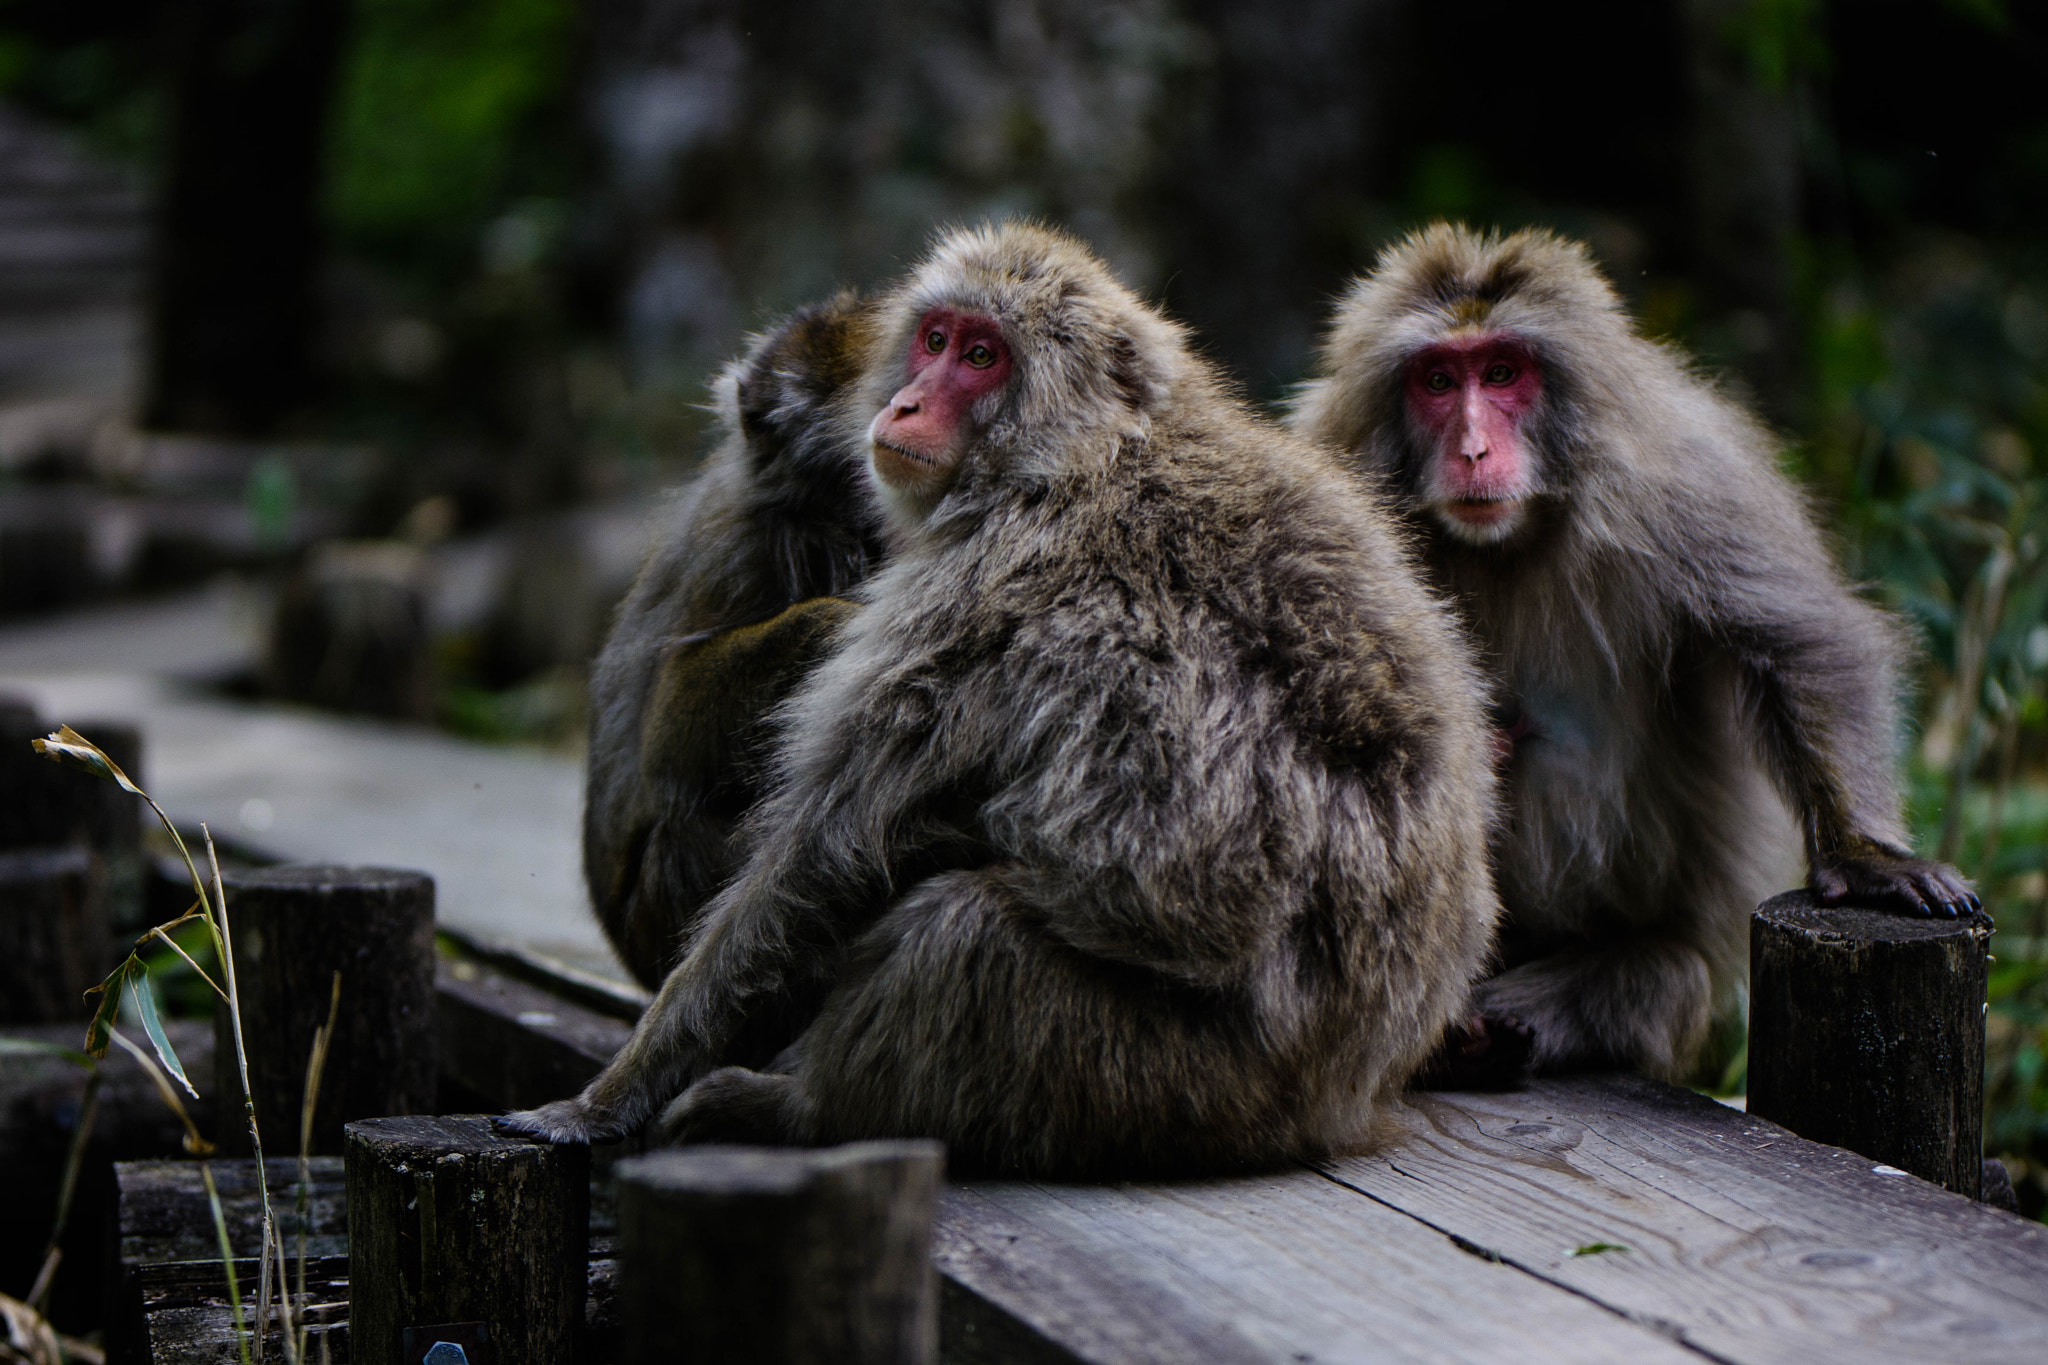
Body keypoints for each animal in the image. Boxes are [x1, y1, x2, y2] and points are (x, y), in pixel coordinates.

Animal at [1286, 229, 1974, 1096]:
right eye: (1438, 381)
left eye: (1502, 372)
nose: (1473, 449)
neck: (1510, 539)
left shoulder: (1686, 479)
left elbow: (1799, 639)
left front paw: (1866, 857)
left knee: (1665, 976)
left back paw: (1503, 1029)